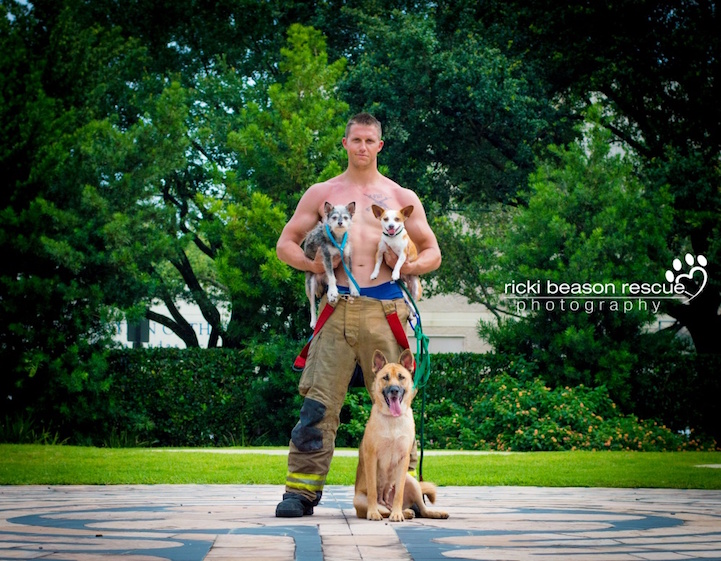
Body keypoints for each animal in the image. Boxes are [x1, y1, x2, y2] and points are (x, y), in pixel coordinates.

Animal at [352, 350, 448, 520]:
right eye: (385, 378)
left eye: (401, 377)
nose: (394, 390)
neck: (393, 419)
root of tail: (385, 501)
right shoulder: (371, 457)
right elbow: (372, 490)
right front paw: (373, 512)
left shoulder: (404, 459)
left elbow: (399, 493)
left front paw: (397, 514)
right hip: (359, 499)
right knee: (383, 510)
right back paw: (384, 511)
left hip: (412, 482)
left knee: (421, 509)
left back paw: (417, 512)